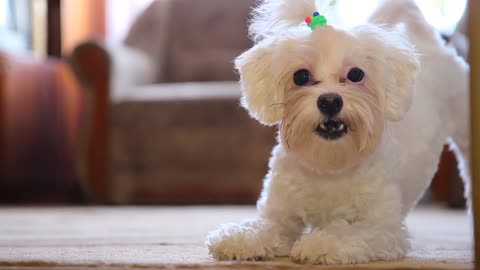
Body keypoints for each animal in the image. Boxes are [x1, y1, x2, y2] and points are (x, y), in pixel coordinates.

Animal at [205, 0, 468, 264]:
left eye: (356, 74)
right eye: (301, 76)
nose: (330, 101)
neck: (330, 164)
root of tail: (432, 45)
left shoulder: (382, 228)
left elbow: (346, 233)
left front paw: (320, 243)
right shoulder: (278, 215)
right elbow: (264, 227)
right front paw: (238, 239)